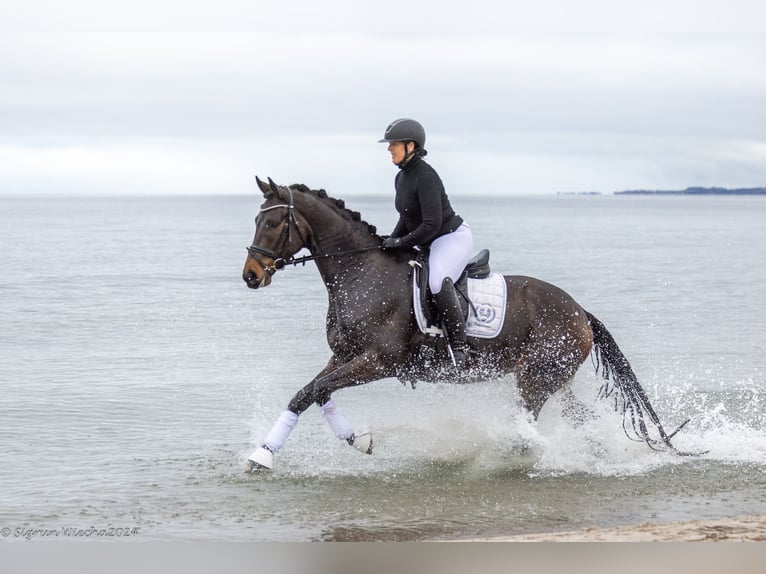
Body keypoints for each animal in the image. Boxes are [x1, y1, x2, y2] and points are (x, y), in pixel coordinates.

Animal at [242, 179, 696, 472]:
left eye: (272, 223)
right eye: (256, 220)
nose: (250, 275)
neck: (361, 273)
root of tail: (581, 311)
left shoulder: (377, 362)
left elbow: (314, 391)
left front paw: (267, 455)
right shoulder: (344, 356)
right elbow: (309, 393)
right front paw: (352, 441)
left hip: (535, 377)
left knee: (526, 425)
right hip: (555, 378)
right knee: (581, 423)